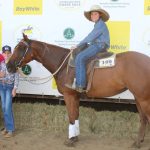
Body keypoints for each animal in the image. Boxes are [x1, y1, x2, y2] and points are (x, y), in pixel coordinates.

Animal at [7, 33, 150, 148]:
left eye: (20, 48)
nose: (8, 66)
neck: (63, 64)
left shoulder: (68, 95)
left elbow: (71, 116)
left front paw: (70, 140)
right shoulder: (75, 96)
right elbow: (75, 115)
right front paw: (75, 137)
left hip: (144, 99)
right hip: (138, 97)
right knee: (143, 119)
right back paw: (138, 142)